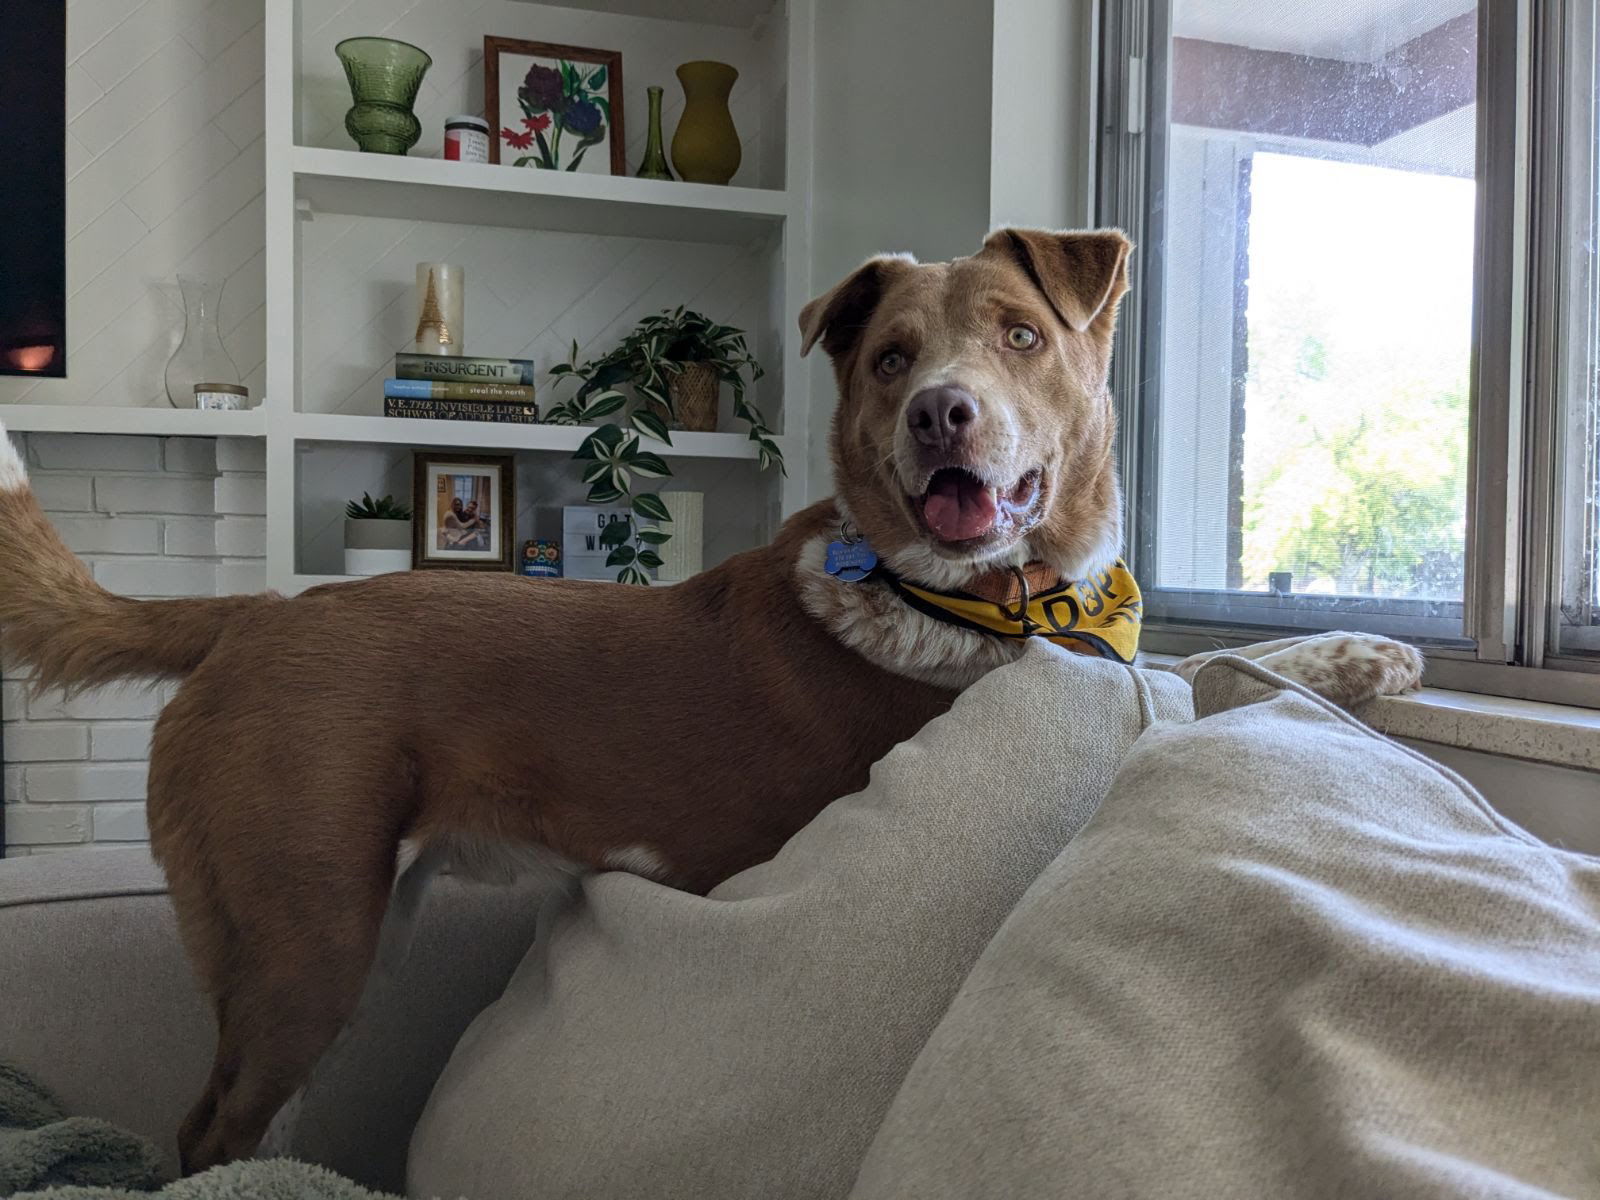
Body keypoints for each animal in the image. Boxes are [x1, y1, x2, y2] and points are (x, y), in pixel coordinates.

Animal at [0, 227, 1427, 1177]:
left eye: (1020, 336)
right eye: (891, 358)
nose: (940, 413)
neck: (993, 602)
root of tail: (251, 612)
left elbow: (1182, 658)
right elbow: (1195, 672)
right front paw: (1366, 658)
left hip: (342, 924)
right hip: (305, 933)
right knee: (209, 1129)